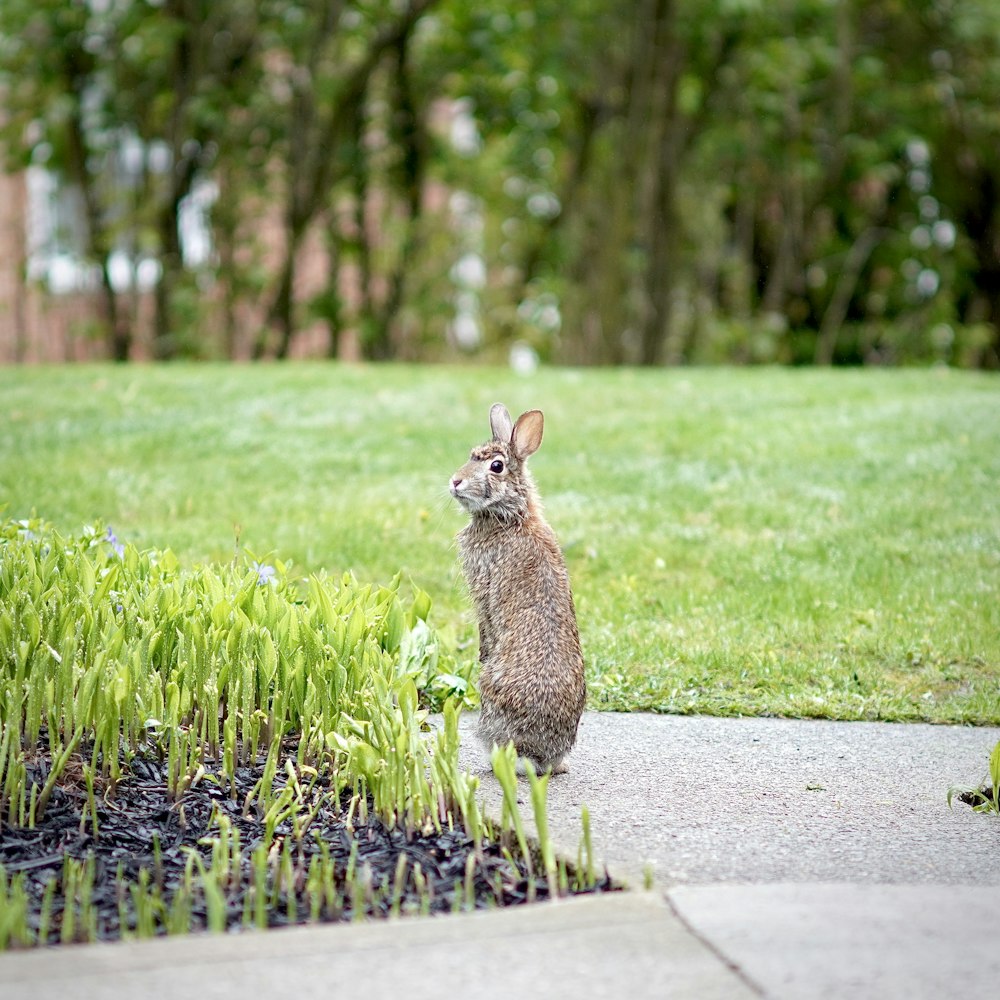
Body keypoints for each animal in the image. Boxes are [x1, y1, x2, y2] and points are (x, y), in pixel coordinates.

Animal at [448, 404, 584, 772]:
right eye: (471, 455)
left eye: (496, 466)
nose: (455, 481)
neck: (510, 515)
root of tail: (538, 755)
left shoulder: (483, 589)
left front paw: (482, 653)